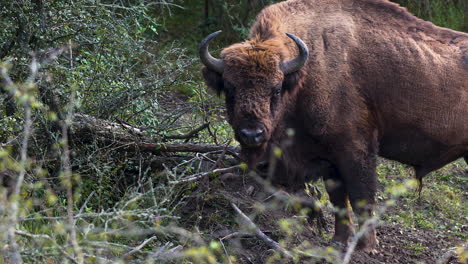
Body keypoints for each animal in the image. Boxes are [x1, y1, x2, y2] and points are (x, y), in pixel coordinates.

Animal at [199, 0, 466, 253]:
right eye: (230, 89)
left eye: (276, 89)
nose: (251, 134)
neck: (307, 69)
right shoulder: (327, 159)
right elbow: (338, 201)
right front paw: (338, 241)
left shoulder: (355, 150)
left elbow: (360, 197)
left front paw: (367, 247)